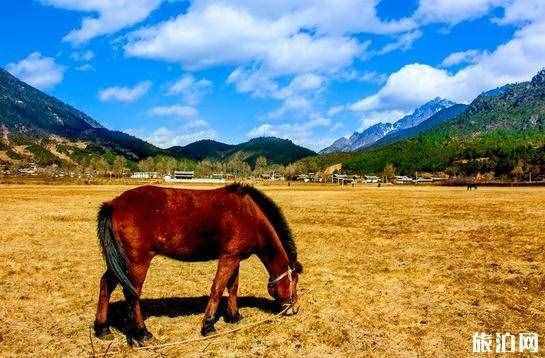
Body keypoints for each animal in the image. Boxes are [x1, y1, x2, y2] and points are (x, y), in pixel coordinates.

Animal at [95, 183, 304, 346]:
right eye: (294, 280)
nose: (294, 308)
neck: (249, 215)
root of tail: (113, 204)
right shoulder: (228, 257)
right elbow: (218, 288)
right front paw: (208, 325)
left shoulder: (235, 257)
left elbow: (232, 287)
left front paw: (234, 316)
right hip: (137, 262)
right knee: (132, 294)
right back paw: (142, 334)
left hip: (120, 263)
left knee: (106, 284)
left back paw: (102, 329)